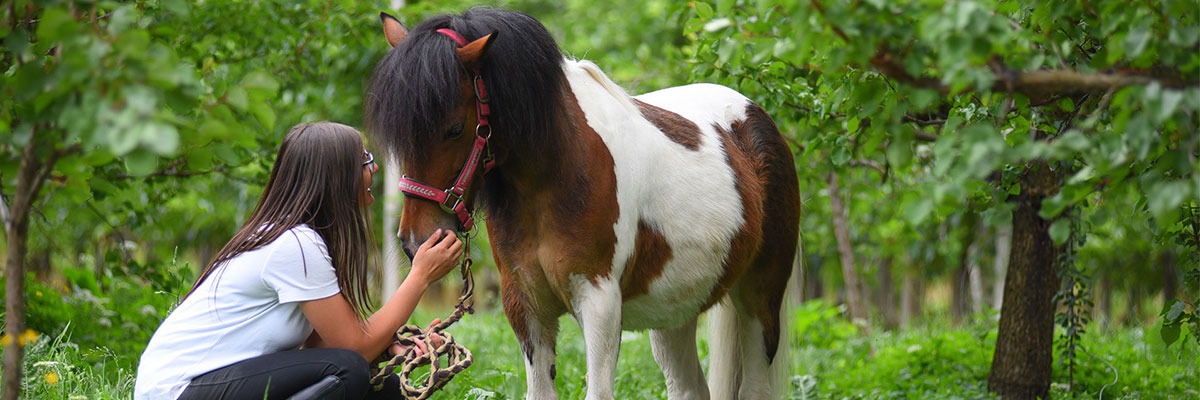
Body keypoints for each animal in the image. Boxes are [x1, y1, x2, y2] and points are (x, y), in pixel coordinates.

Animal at [364, 9, 796, 398]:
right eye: (398, 136)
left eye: (455, 128)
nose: (417, 241)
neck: (557, 174)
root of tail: (754, 117)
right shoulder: (526, 307)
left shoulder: (600, 304)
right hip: (675, 309)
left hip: (760, 299)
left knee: (755, 386)